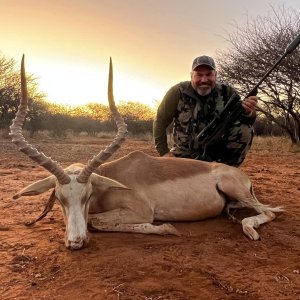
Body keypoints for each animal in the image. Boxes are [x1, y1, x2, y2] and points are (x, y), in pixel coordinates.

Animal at [9, 56, 282, 251]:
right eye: (59, 197)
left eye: (87, 195)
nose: (76, 243)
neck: (112, 180)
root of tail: (238, 174)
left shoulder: (141, 211)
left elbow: (95, 221)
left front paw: (167, 228)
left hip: (233, 188)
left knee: (267, 212)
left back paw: (249, 230)